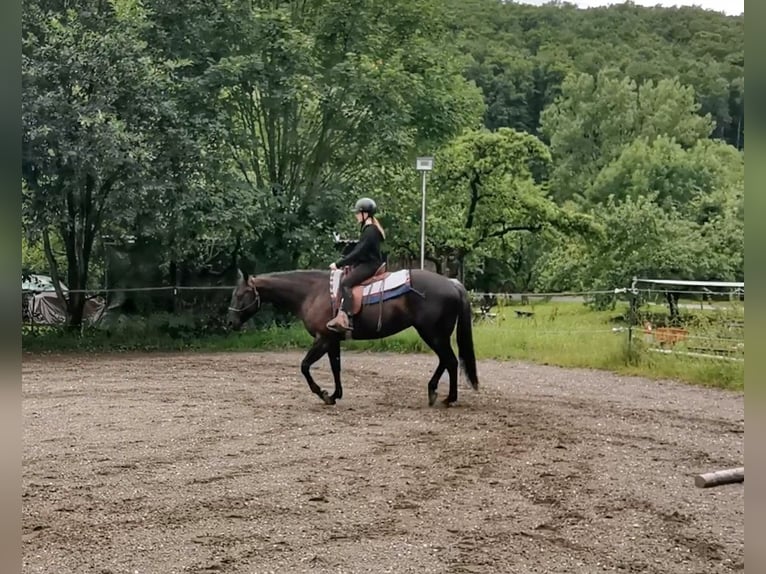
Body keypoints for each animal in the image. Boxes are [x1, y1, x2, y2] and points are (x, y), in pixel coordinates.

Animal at [226, 266, 480, 410]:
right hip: (434, 334)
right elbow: (336, 367)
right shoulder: (332, 340)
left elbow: (305, 366)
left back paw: (448, 398)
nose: (229, 323)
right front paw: (335, 395)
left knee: (451, 361)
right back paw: (434, 391)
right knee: (446, 361)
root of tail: (452, 283)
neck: (312, 292)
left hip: (433, 334)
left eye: (240, 294)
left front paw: (323, 394)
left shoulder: (323, 338)